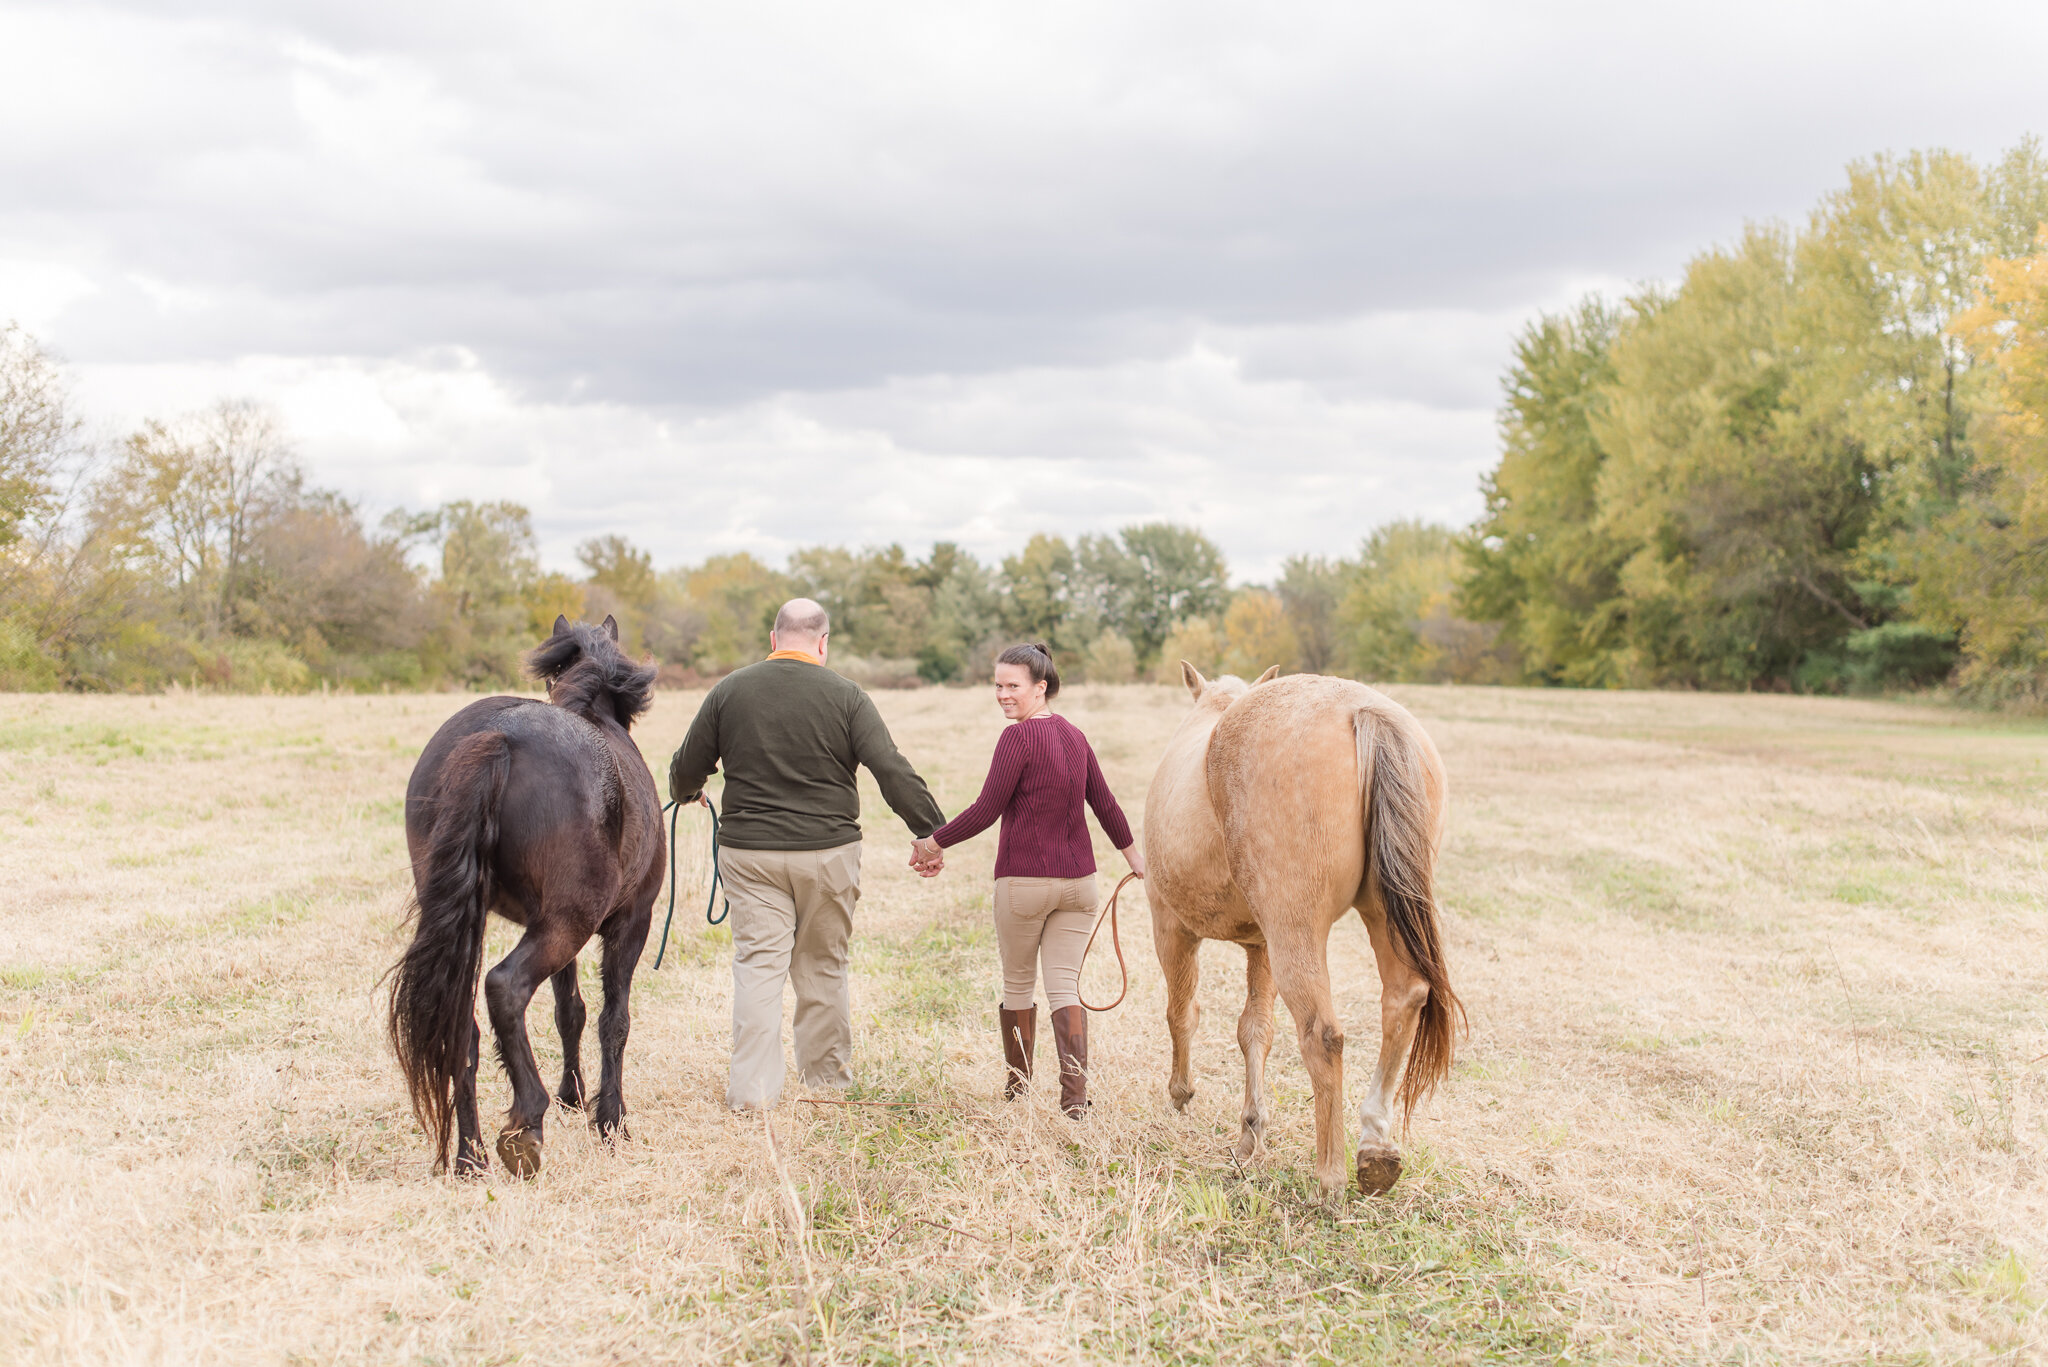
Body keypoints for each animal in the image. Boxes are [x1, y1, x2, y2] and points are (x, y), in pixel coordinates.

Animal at [387, 618, 659, 1180]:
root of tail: (499, 734)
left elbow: (569, 1011)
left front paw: (574, 1096)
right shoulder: (630, 922)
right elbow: (613, 1021)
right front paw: (611, 1122)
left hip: (484, 923)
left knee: (462, 1030)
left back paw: (470, 1156)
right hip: (566, 924)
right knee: (504, 987)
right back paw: (524, 1124)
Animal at [1155, 668, 1458, 1205]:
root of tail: (1363, 711)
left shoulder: (1172, 928)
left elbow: (1182, 1013)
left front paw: (1182, 1092)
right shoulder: (1261, 946)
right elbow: (1254, 1030)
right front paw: (1250, 1132)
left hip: (1296, 932)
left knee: (1324, 1034)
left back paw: (1330, 1178)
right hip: (1374, 916)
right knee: (1403, 999)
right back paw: (1375, 1147)